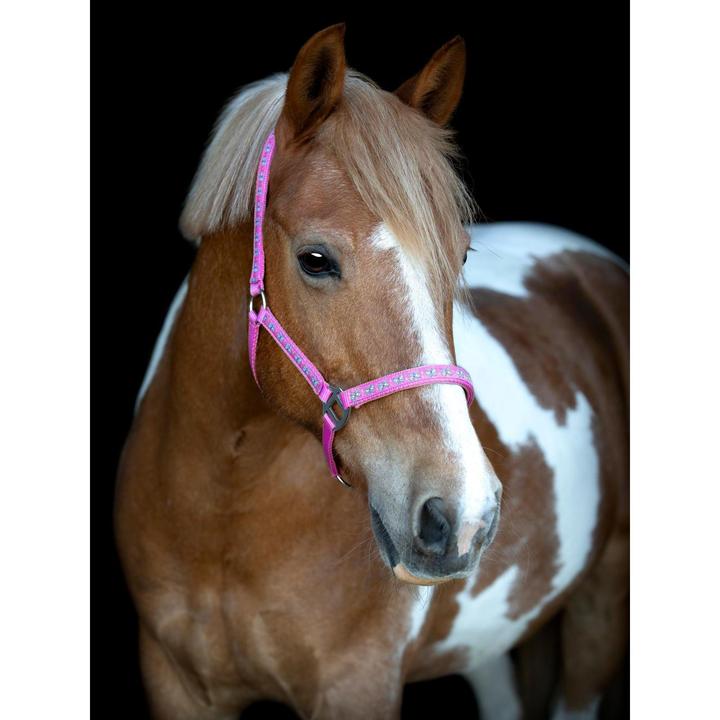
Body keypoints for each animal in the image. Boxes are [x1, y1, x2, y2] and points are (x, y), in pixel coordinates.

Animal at [116, 25, 629, 720]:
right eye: (315, 259)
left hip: (601, 609)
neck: (224, 514)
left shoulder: (356, 683)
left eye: (460, 255)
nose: (461, 515)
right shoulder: (176, 684)